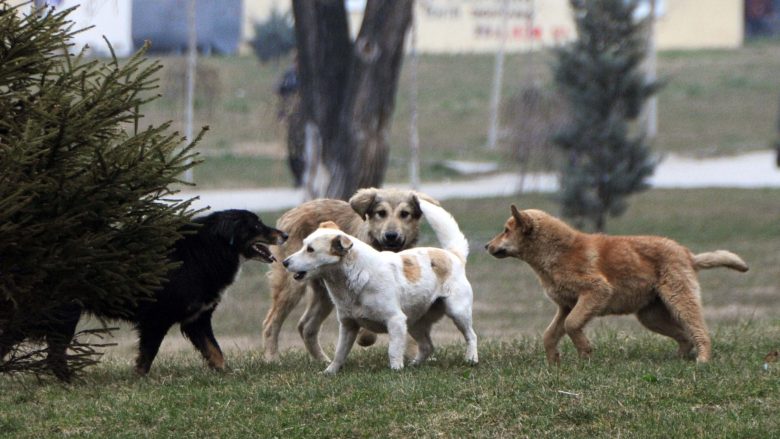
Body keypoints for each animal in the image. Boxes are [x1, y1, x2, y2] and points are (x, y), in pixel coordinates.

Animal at [0, 209, 286, 378]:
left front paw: (227, 374)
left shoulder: (196, 319)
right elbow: (148, 355)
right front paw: (139, 379)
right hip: (61, 314)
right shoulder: (157, 319)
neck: (205, 252)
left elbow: (215, 352)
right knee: (52, 354)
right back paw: (71, 381)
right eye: (256, 226)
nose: (283, 233)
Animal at [264, 187, 436, 362]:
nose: (391, 236)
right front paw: (365, 337)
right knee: (271, 323)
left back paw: (322, 360)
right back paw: (272, 358)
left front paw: (412, 354)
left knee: (306, 326)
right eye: (381, 213)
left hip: (325, 294)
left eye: (404, 213)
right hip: (291, 287)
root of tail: (291, 212)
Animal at [280, 199, 476, 374]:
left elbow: (393, 351)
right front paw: (330, 371)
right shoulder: (348, 325)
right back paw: (415, 365)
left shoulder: (395, 321)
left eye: (310, 250)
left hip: (457, 311)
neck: (354, 278)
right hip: (414, 323)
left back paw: (471, 359)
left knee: (471, 336)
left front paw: (396, 371)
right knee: (427, 346)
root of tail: (453, 255)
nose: (285, 262)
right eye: (304, 245)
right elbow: (339, 352)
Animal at [484, 206, 748, 364]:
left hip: (679, 299)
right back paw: (678, 358)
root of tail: (688, 255)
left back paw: (702, 359)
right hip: (651, 316)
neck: (557, 253)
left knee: (699, 331)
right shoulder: (566, 305)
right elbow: (550, 334)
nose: (486, 246)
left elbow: (571, 325)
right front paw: (554, 362)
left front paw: (585, 352)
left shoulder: (596, 291)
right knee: (685, 336)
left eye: (506, 230)